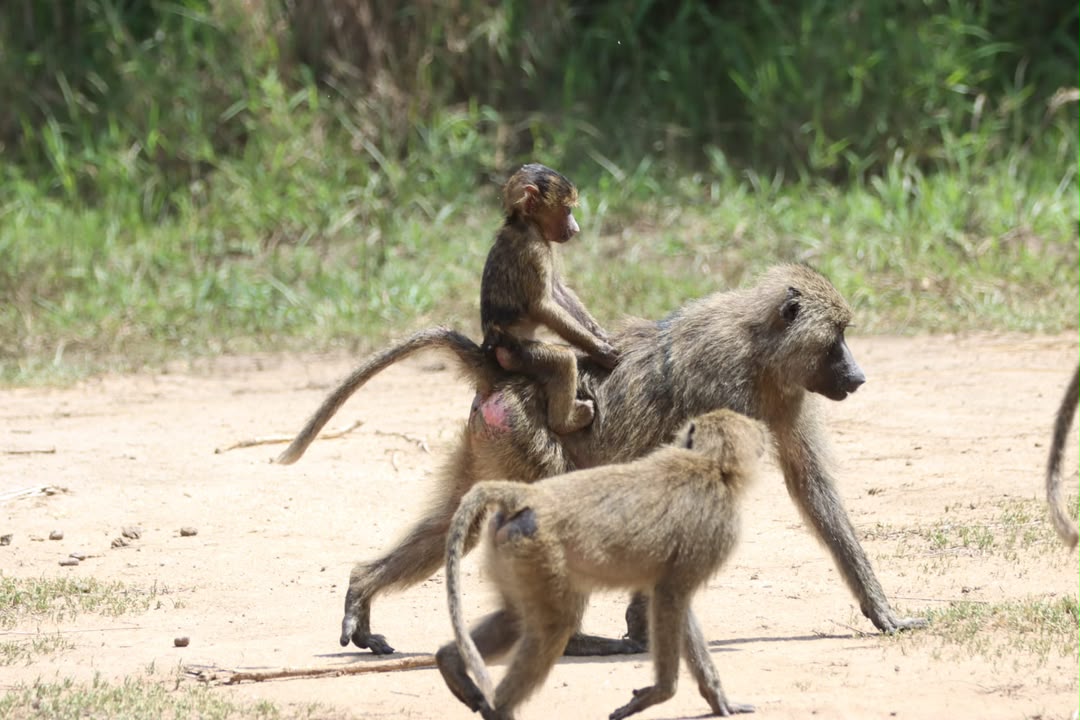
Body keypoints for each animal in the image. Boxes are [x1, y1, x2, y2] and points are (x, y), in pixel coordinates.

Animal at [276, 263, 927, 655]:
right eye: (837, 338)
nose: (858, 377)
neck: (760, 345)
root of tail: (501, 372)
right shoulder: (730, 394)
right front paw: (646, 625)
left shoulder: (788, 396)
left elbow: (813, 492)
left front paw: (883, 612)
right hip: (526, 437)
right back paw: (572, 640)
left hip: (493, 443)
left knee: (454, 528)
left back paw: (362, 593)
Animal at [436, 408, 764, 720]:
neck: (710, 463)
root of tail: (529, 495)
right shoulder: (717, 531)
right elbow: (671, 597)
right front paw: (661, 692)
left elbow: (676, 605)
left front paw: (717, 699)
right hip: (537, 549)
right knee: (555, 625)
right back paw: (499, 709)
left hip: (510, 547)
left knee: (515, 617)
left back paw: (450, 663)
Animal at [480, 163, 619, 435]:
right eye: (567, 210)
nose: (575, 229)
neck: (525, 223)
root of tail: (493, 344)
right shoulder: (534, 250)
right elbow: (542, 305)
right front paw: (600, 350)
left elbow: (558, 290)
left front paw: (600, 335)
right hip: (519, 353)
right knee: (563, 361)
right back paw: (565, 422)